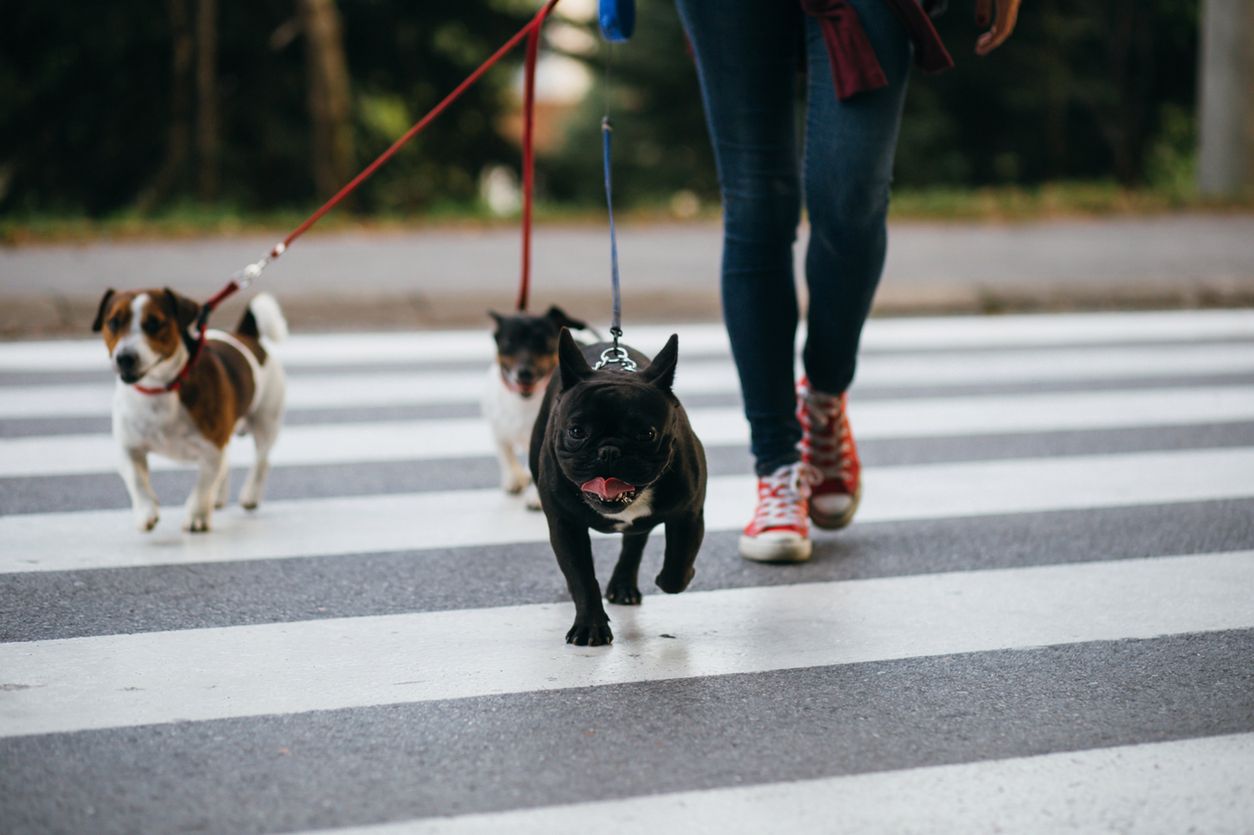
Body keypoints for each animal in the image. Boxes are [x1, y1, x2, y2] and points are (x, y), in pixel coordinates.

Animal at [526, 325, 707, 641]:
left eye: (647, 434)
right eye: (576, 431)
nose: (609, 451)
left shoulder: (689, 514)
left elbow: (678, 565)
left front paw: (675, 576)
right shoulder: (565, 525)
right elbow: (582, 577)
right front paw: (590, 627)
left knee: (635, 542)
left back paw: (624, 585)